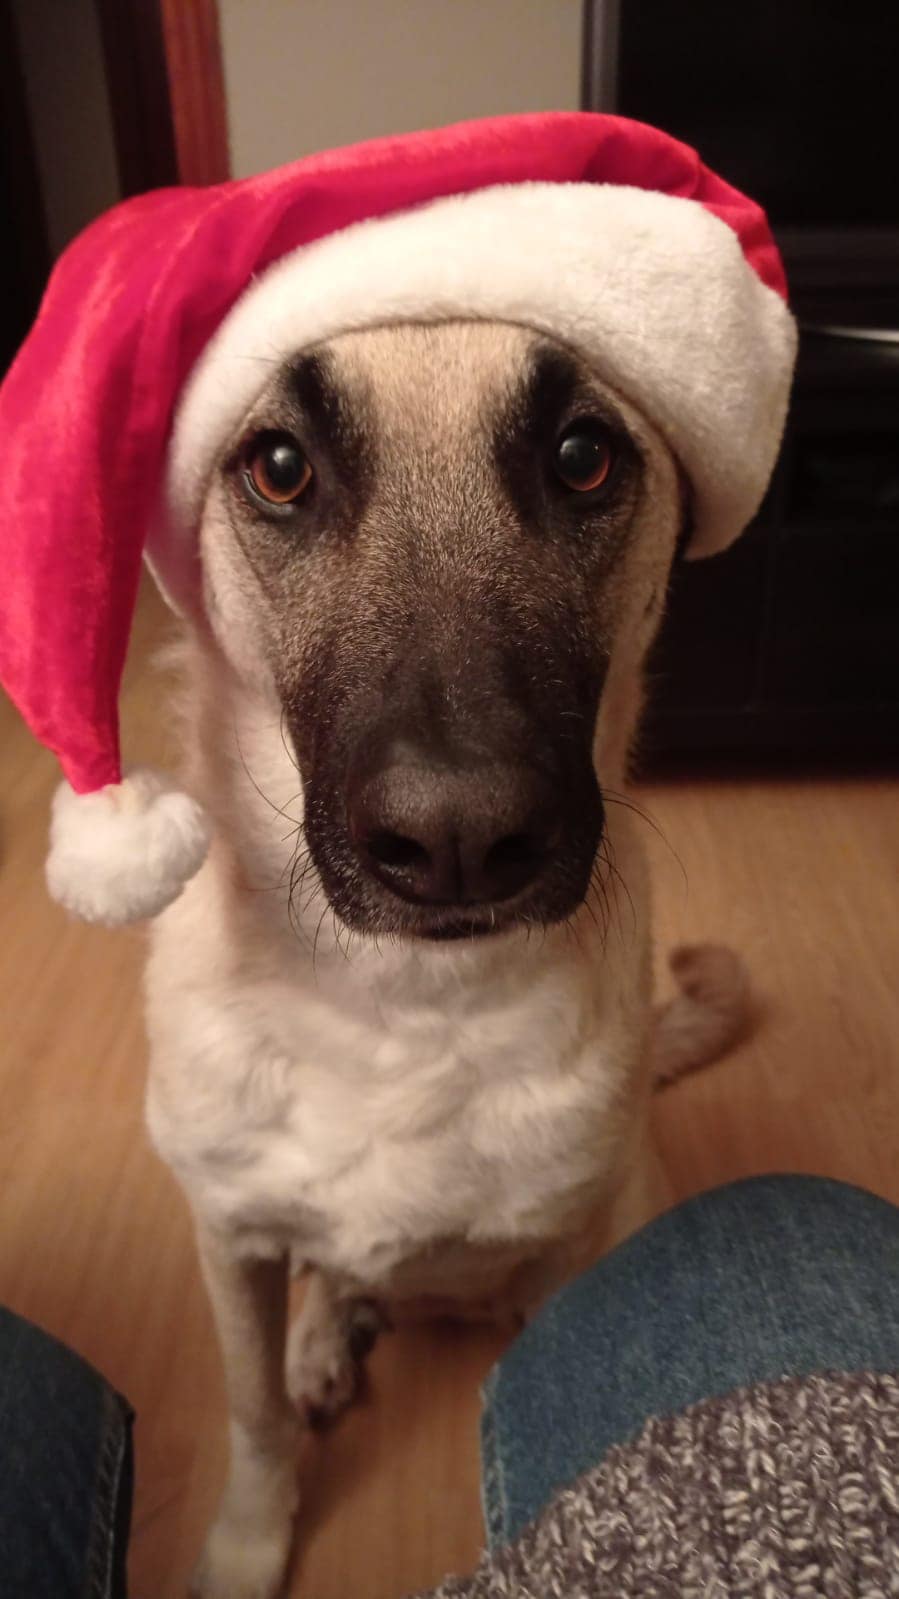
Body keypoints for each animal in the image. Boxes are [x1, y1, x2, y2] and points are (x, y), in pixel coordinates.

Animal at [143, 320, 747, 1599]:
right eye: (279, 468)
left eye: (581, 457)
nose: (457, 840)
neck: (398, 1010)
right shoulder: (228, 1243)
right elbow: (254, 1417)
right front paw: (249, 1543)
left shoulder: (578, 1259)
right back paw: (324, 1338)